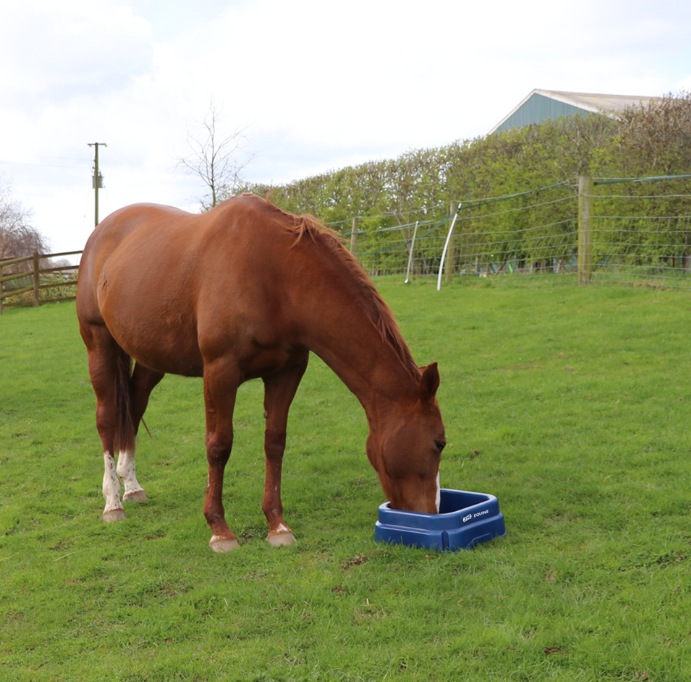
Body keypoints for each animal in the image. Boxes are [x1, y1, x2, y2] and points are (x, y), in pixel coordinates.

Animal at [76, 193, 446, 552]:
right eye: (439, 443)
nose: (432, 512)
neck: (273, 274)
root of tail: (100, 233)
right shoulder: (220, 373)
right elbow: (219, 445)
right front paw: (220, 530)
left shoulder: (287, 372)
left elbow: (275, 443)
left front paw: (277, 525)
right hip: (100, 346)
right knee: (107, 418)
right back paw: (113, 503)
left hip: (151, 358)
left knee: (134, 407)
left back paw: (132, 485)